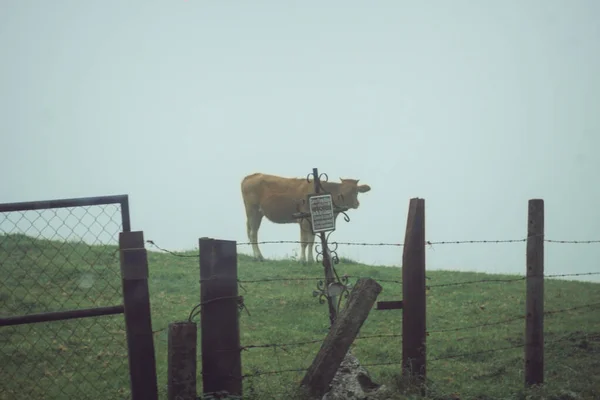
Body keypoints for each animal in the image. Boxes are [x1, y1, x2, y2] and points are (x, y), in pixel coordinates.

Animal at [240, 171, 370, 262]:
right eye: (341, 193)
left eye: (356, 191)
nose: (356, 204)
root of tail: (251, 176)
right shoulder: (303, 220)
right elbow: (304, 241)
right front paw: (302, 260)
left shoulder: (313, 223)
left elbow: (311, 241)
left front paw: (311, 259)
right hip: (253, 211)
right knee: (253, 234)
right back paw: (258, 256)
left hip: (257, 213)